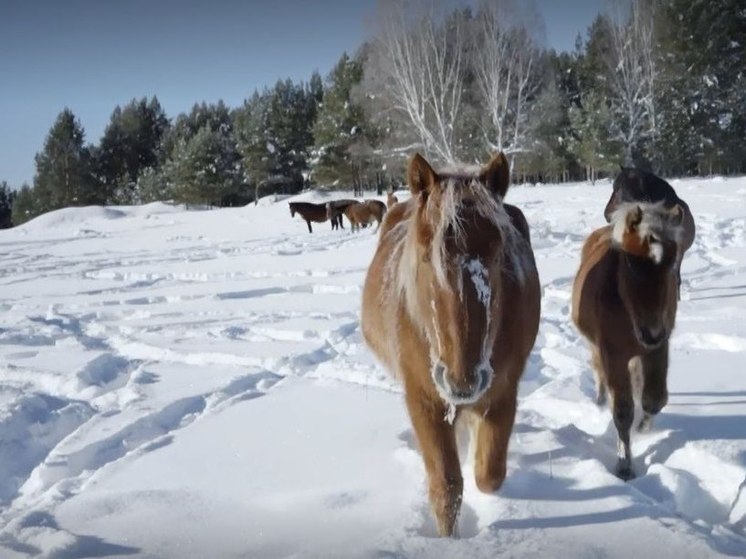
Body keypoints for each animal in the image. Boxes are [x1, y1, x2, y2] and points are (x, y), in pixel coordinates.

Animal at [358, 153, 536, 540]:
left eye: (499, 254)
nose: (461, 381)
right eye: (427, 256)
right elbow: (447, 486)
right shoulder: (424, 399)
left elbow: (489, 474)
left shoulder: (503, 392)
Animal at [572, 202, 684, 482]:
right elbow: (622, 410)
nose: (651, 333)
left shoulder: (657, 349)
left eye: (671, 263)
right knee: (598, 371)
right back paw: (601, 399)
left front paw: (643, 426)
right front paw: (624, 464)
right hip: (597, 347)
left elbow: (654, 398)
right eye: (631, 263)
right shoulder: (613, 353)